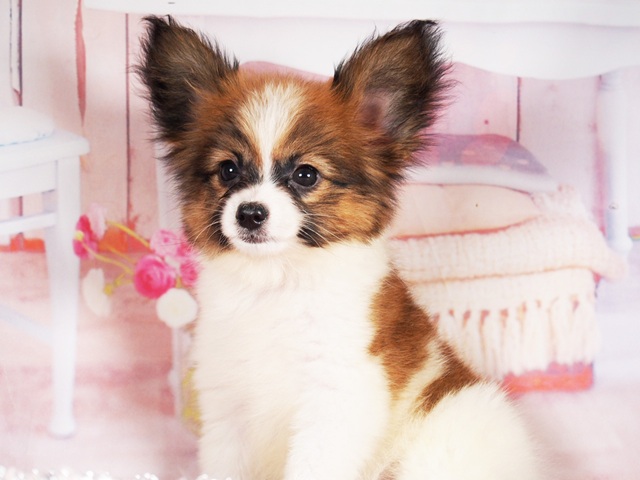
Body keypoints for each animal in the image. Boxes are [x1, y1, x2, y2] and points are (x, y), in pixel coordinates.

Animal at [139, 16, 540, 480]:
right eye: (228, 170)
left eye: (306, 175)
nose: (250, 213)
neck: (277, 281)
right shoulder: (228, 404)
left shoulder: (335, 403)